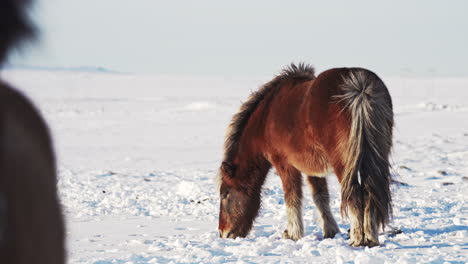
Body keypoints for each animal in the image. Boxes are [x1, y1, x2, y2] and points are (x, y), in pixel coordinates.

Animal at [218, 64, 394, 248]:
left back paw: (357, 239)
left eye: (225, 194)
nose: (223, 233)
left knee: (355, 194)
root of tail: (359, 88)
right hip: (374, 160)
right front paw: (330, 231)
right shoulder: (313, 168)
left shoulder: (285, 164)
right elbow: (320, 197)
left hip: (344, 165)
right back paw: (371, 238)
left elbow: (292, 197)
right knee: (369, 192)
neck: (266, 118)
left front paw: (292, 234)